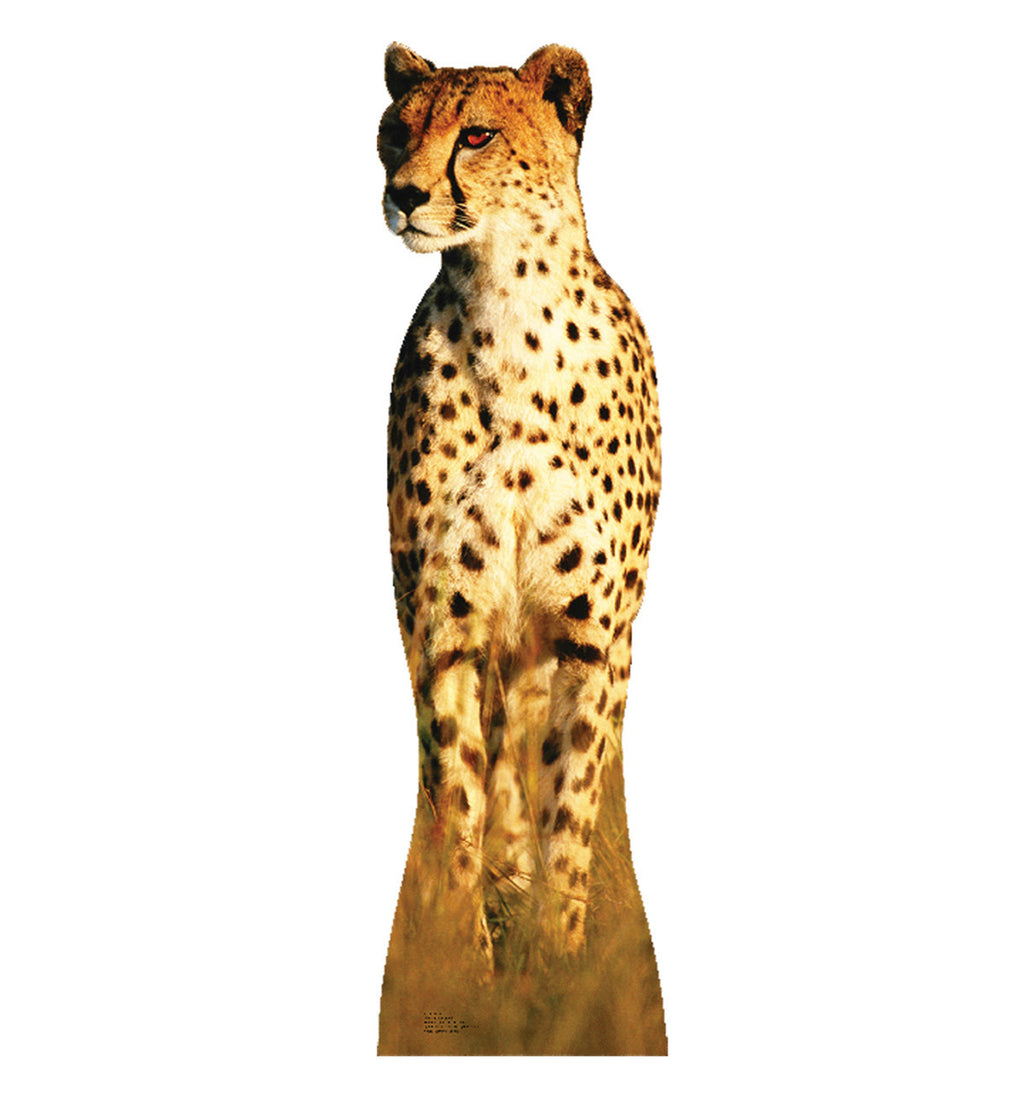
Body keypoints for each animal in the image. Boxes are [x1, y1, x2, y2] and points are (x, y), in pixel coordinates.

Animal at [378, 42, 661, 967]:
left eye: (477, 134)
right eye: (397, 131)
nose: (405, 194)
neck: (507, 307)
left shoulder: (589, 635)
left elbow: (569, 803)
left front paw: (562, 961)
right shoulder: (445, 630)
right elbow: (457, 799)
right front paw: (468, 962)